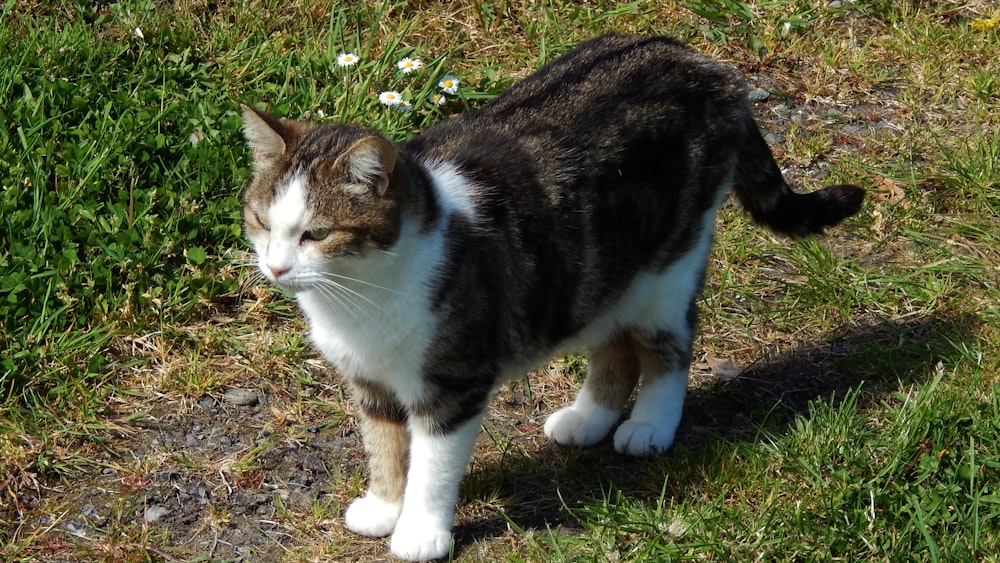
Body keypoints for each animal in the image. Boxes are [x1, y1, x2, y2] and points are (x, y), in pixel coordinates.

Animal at [242, 34, 868, 560]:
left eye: (315, 234)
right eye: (261, 222)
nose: (275, 267)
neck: (360, 296)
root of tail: (699, 60)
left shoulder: (455, 380)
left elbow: (433, 465)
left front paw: (419, 530)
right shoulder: (369, 379)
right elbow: (384, 443)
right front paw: (384, 506)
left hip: (668, 265)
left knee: (668, 345)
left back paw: (650, 426)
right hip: (597, 273)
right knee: (614, 344)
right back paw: (589, 418)